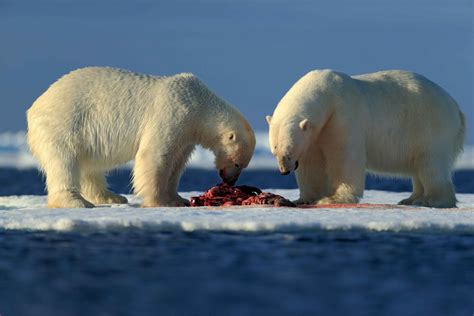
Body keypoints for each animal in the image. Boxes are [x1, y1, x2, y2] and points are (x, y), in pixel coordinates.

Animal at [26, 67, 256, 207]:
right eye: (238, 163)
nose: (229, 180)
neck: (199, 102)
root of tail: (34, 106)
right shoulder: (173, 113)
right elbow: (155, 156)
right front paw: (159, 201)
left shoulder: (186, 134)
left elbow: (176, 162)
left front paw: (178, 198)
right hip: (64, 124)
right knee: (64, 162)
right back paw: (76, 201)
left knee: (89, 167)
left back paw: (111, 197)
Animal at [266, 69, 466, 209]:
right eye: (274, 150)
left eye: (289, 151)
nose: (284, 171)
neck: (327, 94)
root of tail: (457, 108)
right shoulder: (316, 134)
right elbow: (311, 163)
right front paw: (306, 198)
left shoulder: (342, 115)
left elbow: (344, 156)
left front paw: (332, 198)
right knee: (419, 166)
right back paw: (410, 199)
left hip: (429, 126)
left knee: (431, 164)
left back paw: (432, 200)